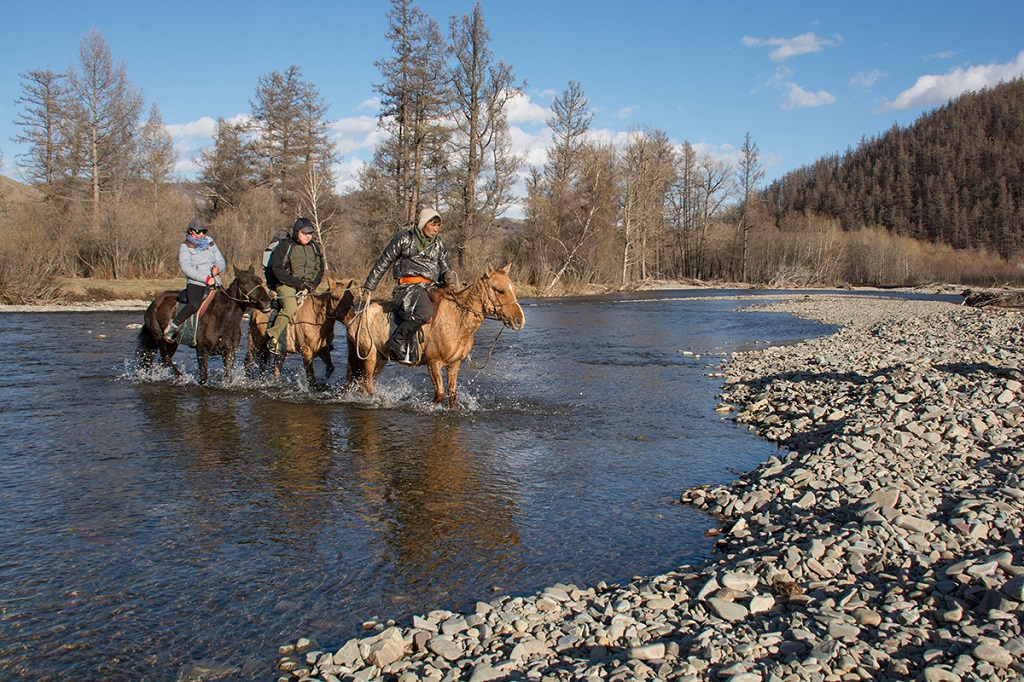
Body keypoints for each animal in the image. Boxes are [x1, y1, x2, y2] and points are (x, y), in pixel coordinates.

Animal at [140, 264, 278, 382]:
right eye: (244, 282)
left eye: (259, 280)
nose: (266, 301)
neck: (224, 319)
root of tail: (155, 302)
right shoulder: (202, 350)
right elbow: (203, 377)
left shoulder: (229, 351)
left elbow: (228, 376)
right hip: (159, 338)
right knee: (165, 359)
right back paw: (180, 376)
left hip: (173, 343)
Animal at [344, 262, 524, 405]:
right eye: (500, 290)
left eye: (513, 289)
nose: (519, 320)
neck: (457, 320)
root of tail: (357, 318)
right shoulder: (433, 362)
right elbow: (440, 394)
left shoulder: (454, 364)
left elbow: (452, 395)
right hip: (369, 356)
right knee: (368, 385)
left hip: (380, 358)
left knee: (363, 385)